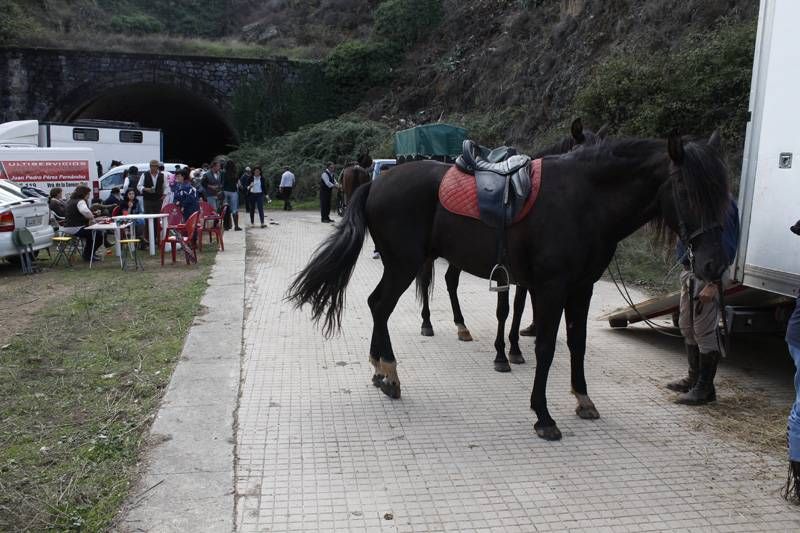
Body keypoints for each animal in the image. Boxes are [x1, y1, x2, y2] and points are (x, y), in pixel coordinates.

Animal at [416, 119, 608, 374]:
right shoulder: (504, 271)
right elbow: (505, 310)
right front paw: (502, 354)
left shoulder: (525, 275)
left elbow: (519, 307)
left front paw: (515, 348)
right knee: (426, 280)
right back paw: (427, 323)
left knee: (450, 281)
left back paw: (461, 326)